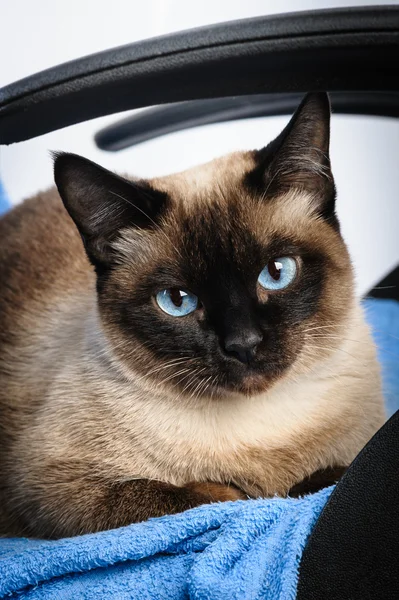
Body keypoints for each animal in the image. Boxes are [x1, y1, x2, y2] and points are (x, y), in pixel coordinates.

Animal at [0, 95, 384, 540]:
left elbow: (330, 474)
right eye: (177, 300)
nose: (244, 344)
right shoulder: (48, 491)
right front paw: (243, 493)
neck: (262, 433)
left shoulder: (359, 450)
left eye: (276, 272)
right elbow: (187, 496)